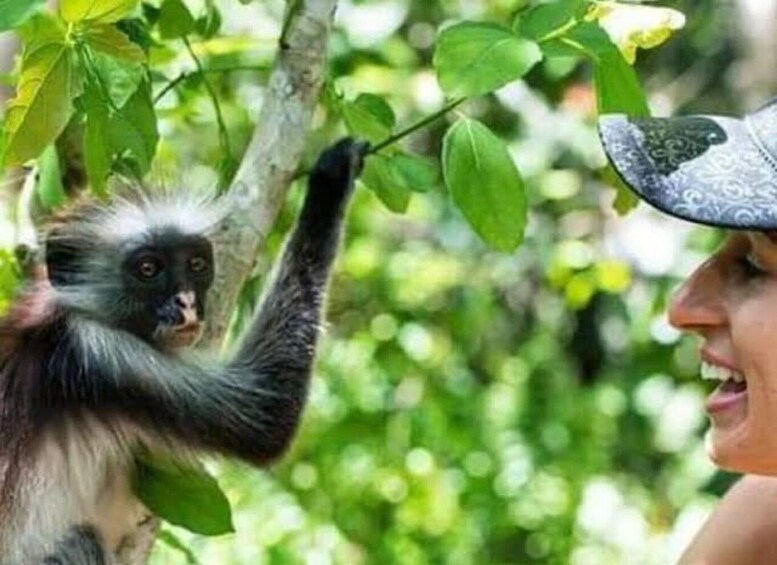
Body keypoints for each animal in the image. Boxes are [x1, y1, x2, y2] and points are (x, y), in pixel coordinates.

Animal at [0, 138, 368, 564]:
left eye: (196, 264)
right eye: (148, 269)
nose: (187, 303)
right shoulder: (100, 354)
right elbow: (269, 412)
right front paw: (330, 184)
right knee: (80, 540)